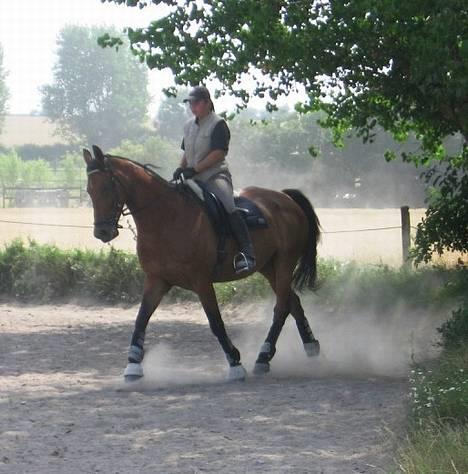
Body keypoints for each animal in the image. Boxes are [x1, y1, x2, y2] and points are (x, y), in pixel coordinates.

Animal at [82, 144, 320, 382]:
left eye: (106, 188)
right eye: (89, 190)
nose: (102, 232)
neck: (166, 218)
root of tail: (285, 198)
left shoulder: (201, 281)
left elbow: (216, 322)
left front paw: (235, 364)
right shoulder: (156, 280)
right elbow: (141, 319)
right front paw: (132, 365)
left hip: (285, 261)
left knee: (281, 307)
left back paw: (263, 356)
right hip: (268, 267)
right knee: (293, 303)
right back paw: (310, 346)